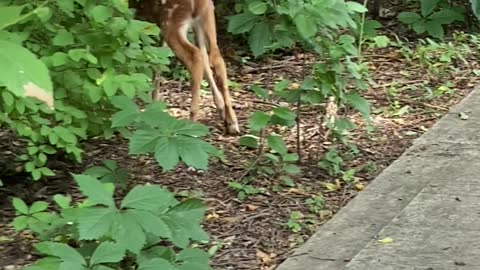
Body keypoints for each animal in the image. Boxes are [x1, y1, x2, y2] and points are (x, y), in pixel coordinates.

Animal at [129, 0, 240, 135]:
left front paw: (152, 103)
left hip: (171, 22)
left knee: (195, 57)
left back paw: (191, 127)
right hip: (206, 16)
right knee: (215, 57)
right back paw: (232, 122)